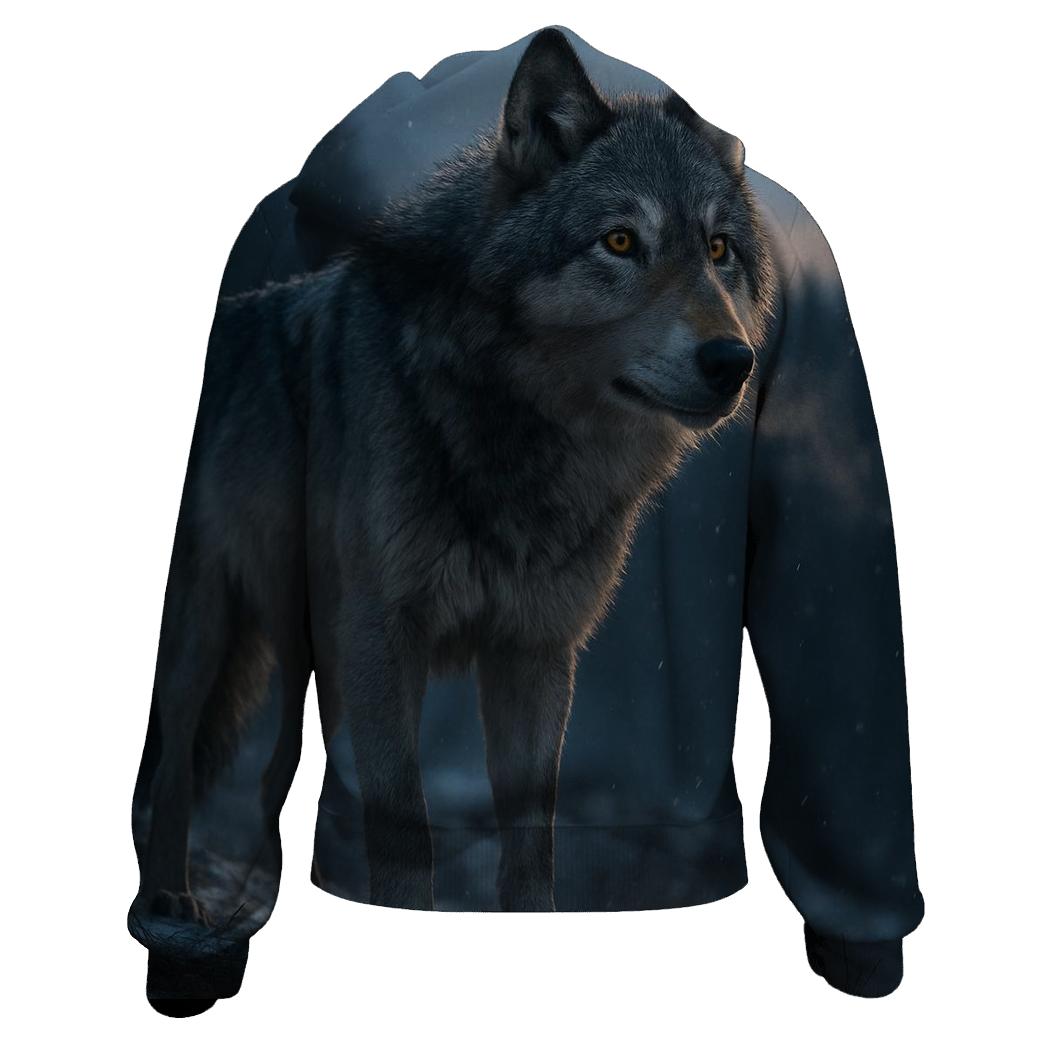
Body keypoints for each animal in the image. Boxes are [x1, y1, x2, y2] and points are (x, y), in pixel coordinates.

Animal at [135, 26, 778, 922]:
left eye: (719, 251)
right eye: (619, 241)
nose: (732, 362)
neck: (514, 440)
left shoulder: (534, 652)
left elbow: (532, 843)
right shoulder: (377, 642)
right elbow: (403, 834)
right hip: (202, 632)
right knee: (170, 768)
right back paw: (169, 898)